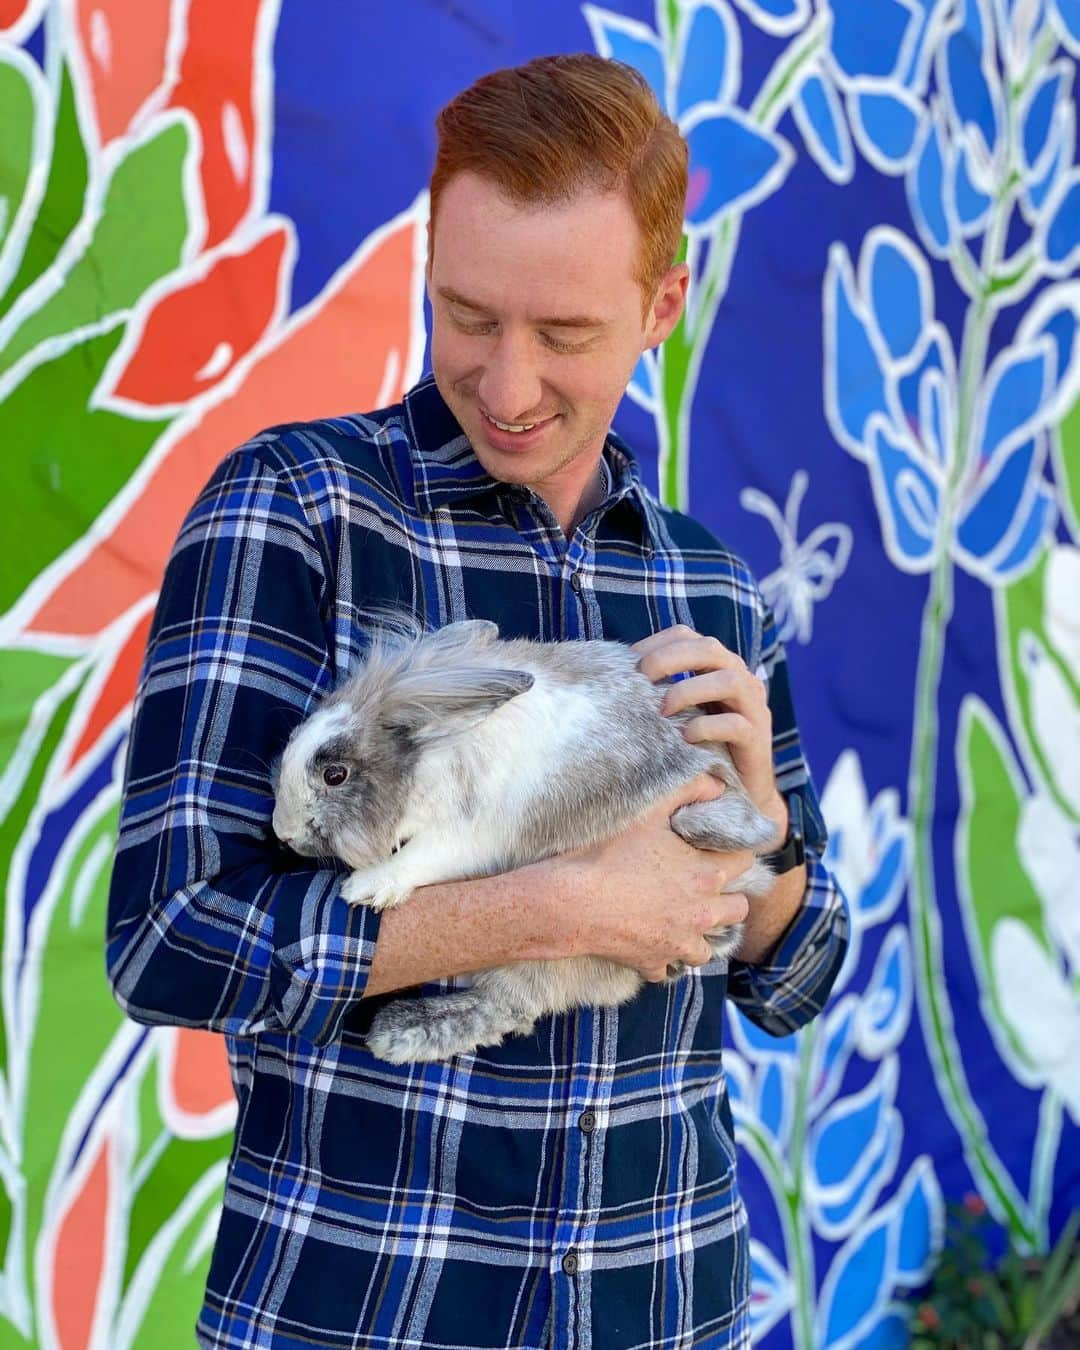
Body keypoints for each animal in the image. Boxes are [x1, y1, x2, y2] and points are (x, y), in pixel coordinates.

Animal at [270, 618, 777, 1063]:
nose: (283, 833)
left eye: (335, 774)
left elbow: (422, 857)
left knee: (510, 1005)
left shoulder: (473, 835)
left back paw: (399, 1034)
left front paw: (365, 887)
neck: (439, 752)